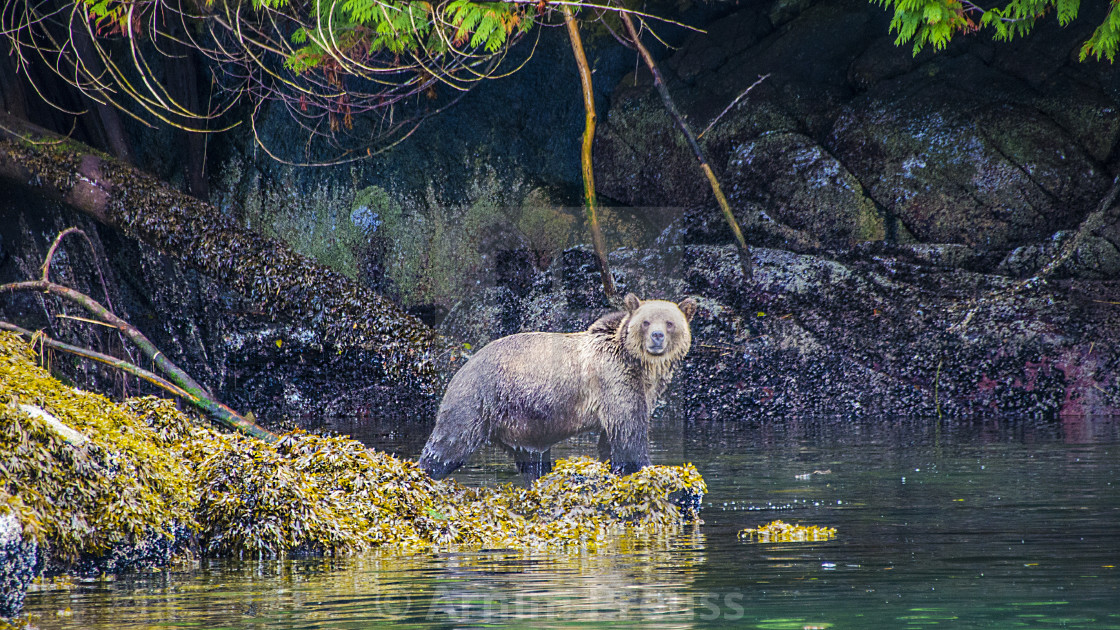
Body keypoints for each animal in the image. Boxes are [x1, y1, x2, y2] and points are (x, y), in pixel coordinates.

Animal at [418, 291, 694, 477]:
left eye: (670, 323)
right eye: (646, 322)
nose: (657, 336)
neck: (639, 365)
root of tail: (463, 365)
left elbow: (611, 437)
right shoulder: (614, 379)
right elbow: (629, 431)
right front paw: (645, 466)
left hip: (520, 421)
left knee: (531, 459)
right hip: (479, 399)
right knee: (448, 445)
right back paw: (424, 473)